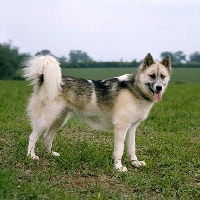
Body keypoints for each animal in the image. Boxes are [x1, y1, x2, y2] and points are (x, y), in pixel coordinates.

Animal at [23, 53, 170, 172]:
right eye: (152, 76)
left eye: (163, 76)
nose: (159, 88)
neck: (134, 89)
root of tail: (43, 79)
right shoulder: (121, 128)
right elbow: (119, 150)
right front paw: (118, 167)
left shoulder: (132, 128)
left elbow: (132, 149)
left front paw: (135, 163)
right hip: (45, 120)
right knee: (32, 137)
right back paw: (31, 156)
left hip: (58, 120)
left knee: (47, 137)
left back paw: (51, 154)